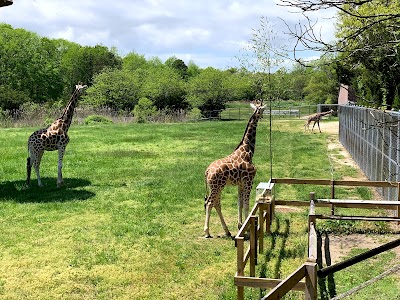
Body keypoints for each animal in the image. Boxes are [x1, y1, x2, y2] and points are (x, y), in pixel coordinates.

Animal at [203, 101, 266, 239]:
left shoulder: (240, 183)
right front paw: (247, 230)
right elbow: (247, 204)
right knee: (210, 203)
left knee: (216, 203)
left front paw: (240, 225)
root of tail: (207, 171)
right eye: (263, 109)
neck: (248, 151)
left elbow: (240, 203)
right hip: (217, 186)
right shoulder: (249, 180)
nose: (263, 116)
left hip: (217, 186)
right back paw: (207, 232)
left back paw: (227, 231)